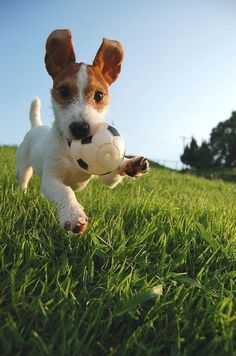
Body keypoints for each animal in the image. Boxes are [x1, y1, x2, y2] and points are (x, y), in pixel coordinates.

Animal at [16, 29, 149, 234]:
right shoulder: (51, 177)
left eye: (99, 95)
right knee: (23, 180)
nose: (80, 128)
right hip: (23, 165)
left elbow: (112, 175)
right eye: (63, 90)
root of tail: (36, 126)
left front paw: (130, 164)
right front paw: (73, 214)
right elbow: (65, 191)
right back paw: (20, 194)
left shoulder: (104, 175)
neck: (71, 149)